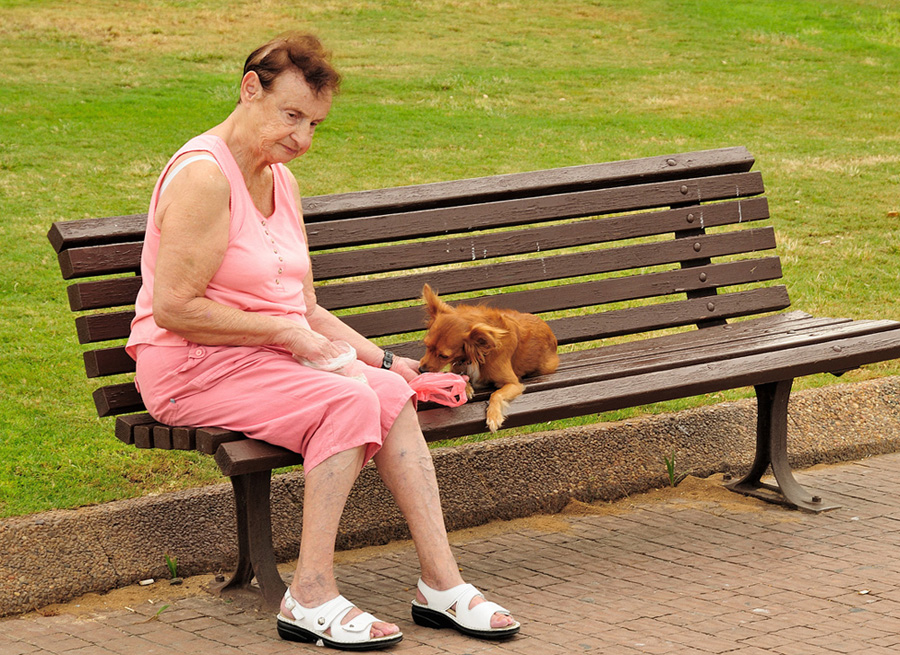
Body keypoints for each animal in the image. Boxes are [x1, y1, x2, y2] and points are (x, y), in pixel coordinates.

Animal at [420, 284, 560, 434]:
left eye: (444, 356)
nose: (421, 370)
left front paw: (493, 416)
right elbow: (457, 376)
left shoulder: (513, 384)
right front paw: (466, 387)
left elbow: (496, 394)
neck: (479, 352)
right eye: (426, 345)